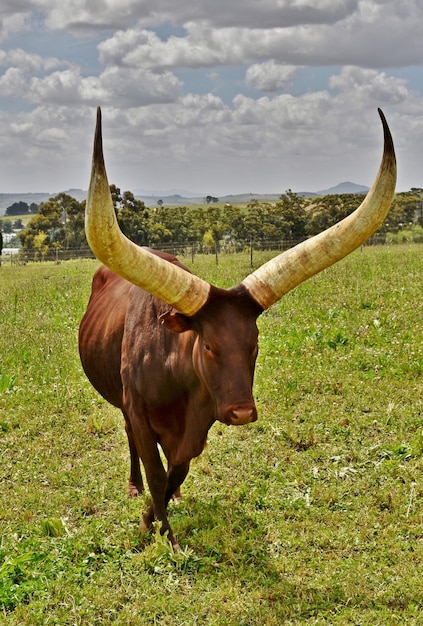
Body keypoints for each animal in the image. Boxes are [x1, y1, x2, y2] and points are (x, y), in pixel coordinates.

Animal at [79, 108, 398, 544]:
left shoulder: (199, 425)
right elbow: (156, 472)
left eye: (255, 344)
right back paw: (133, 485)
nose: (242, 412)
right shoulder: (140, 413)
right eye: (208, 345)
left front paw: (159, 513)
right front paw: (161, 531)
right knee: (130, 441)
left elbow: (178, 470)